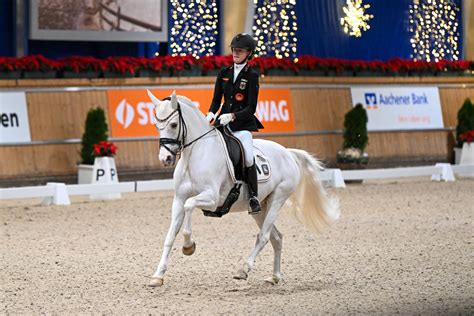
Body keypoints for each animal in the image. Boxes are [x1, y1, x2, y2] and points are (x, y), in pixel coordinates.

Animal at [146, 89, 338, 286]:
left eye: (174, 124)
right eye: (156, 125)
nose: (165, 159)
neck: (195, 155)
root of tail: (288, 153)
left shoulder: (213, 198)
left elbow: (189, 206)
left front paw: (188, 246)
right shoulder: (178, 199)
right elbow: (170, 234)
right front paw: (158, 276)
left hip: (278, 198)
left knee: (264, 237)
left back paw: (243, 270)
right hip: (260, 207)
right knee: (276, 237)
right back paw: (274, 277)